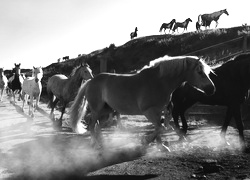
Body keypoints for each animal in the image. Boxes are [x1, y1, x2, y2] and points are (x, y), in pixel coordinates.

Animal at [70, 55, 215, 151]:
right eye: (199, 72)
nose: (212, 89)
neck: (159, 81)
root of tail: (90, 81)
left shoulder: (159, 111)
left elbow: (160, 127)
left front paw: (161, 146)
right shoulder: (148, 111)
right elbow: (160, 127)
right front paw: (145, 141)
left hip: (107, 111)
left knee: (98, 126)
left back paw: (102, 143)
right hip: (97, 110)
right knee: (91, 125)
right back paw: (96, 144)